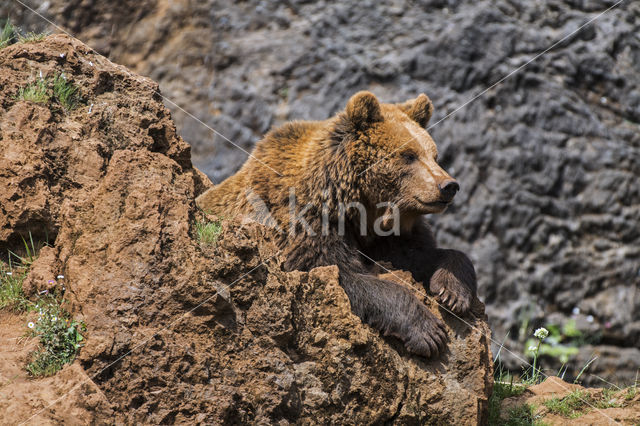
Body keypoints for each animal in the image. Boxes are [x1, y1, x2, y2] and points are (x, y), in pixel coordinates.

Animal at [198, 91, 478, 358]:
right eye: (409, 155)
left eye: (434, 155)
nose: (448, 185)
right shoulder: (309, 222)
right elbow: (336, 273)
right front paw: (429, 332)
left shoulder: (391, 236)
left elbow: (418, 256)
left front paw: (453, 292)